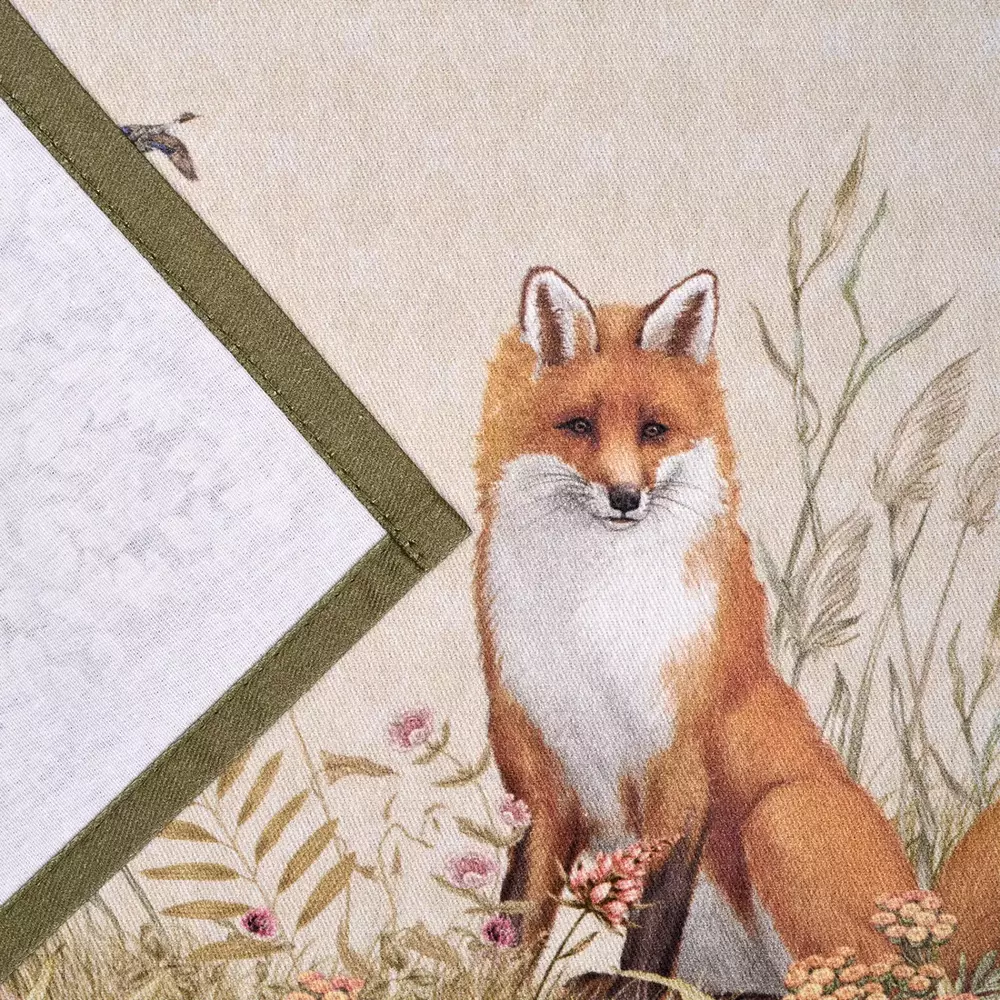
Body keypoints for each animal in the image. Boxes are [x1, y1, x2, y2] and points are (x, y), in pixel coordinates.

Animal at [473, 265, 923, 995]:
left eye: (654, 430)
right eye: (579, 426)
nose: (625, 498)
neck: (595, 628)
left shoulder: (681, 773)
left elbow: (654, 921)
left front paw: (635, 988)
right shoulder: (543, 780)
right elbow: (512, 926)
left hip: (781, 822)